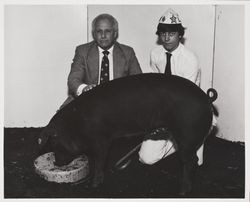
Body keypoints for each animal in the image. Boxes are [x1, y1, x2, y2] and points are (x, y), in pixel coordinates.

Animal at [37, 73, 217, 195]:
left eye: (55, 143)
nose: (56, 163)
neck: (76, 123)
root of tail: (206, 99)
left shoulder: (101, 140)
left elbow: (99, 162)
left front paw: (92, 186)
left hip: (187, 135)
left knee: (191, 161)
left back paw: (182, 192)